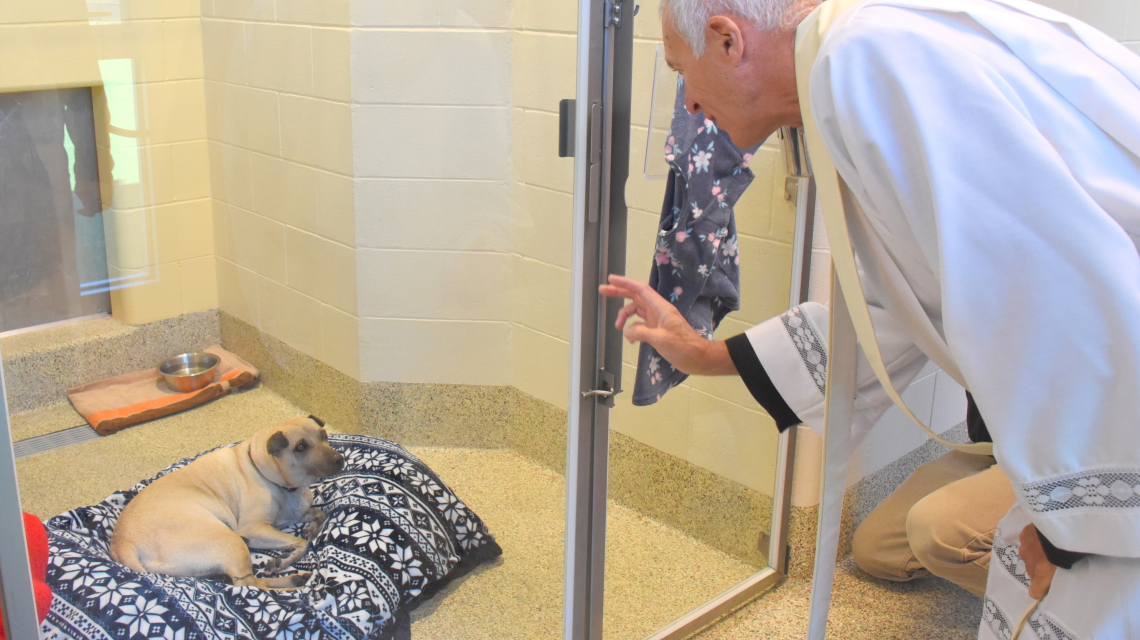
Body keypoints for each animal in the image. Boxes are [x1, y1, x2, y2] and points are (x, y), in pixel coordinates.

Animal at [109, 415, 344, 588]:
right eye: (300, 447)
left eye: (324, 435)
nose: (339, 460)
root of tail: (123, 543)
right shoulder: (254, 530)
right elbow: (301, 544)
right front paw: (286, 559)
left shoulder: (293, 515)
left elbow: (319, 514)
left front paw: (311, 529)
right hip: (233, 541)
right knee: (250, 585)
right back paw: (291, 584)